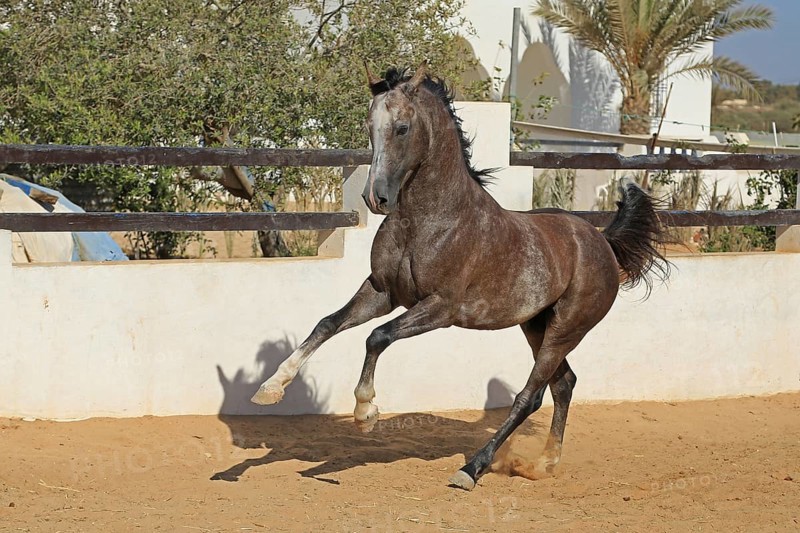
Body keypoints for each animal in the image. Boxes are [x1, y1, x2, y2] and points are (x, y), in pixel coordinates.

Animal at [251, 62, 670, 491]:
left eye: (402, 127)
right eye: (369, 125)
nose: (376, 198)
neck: (431, 220)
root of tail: (602, 241)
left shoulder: (441, 308)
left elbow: (376, 337)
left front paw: (366, 411)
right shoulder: (383, 292)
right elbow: (327, 324)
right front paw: (270, 388)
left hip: (566, 329)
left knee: (530, 395)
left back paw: (471, 469)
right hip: (536, 325)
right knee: (563, 384)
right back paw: (544, 463)